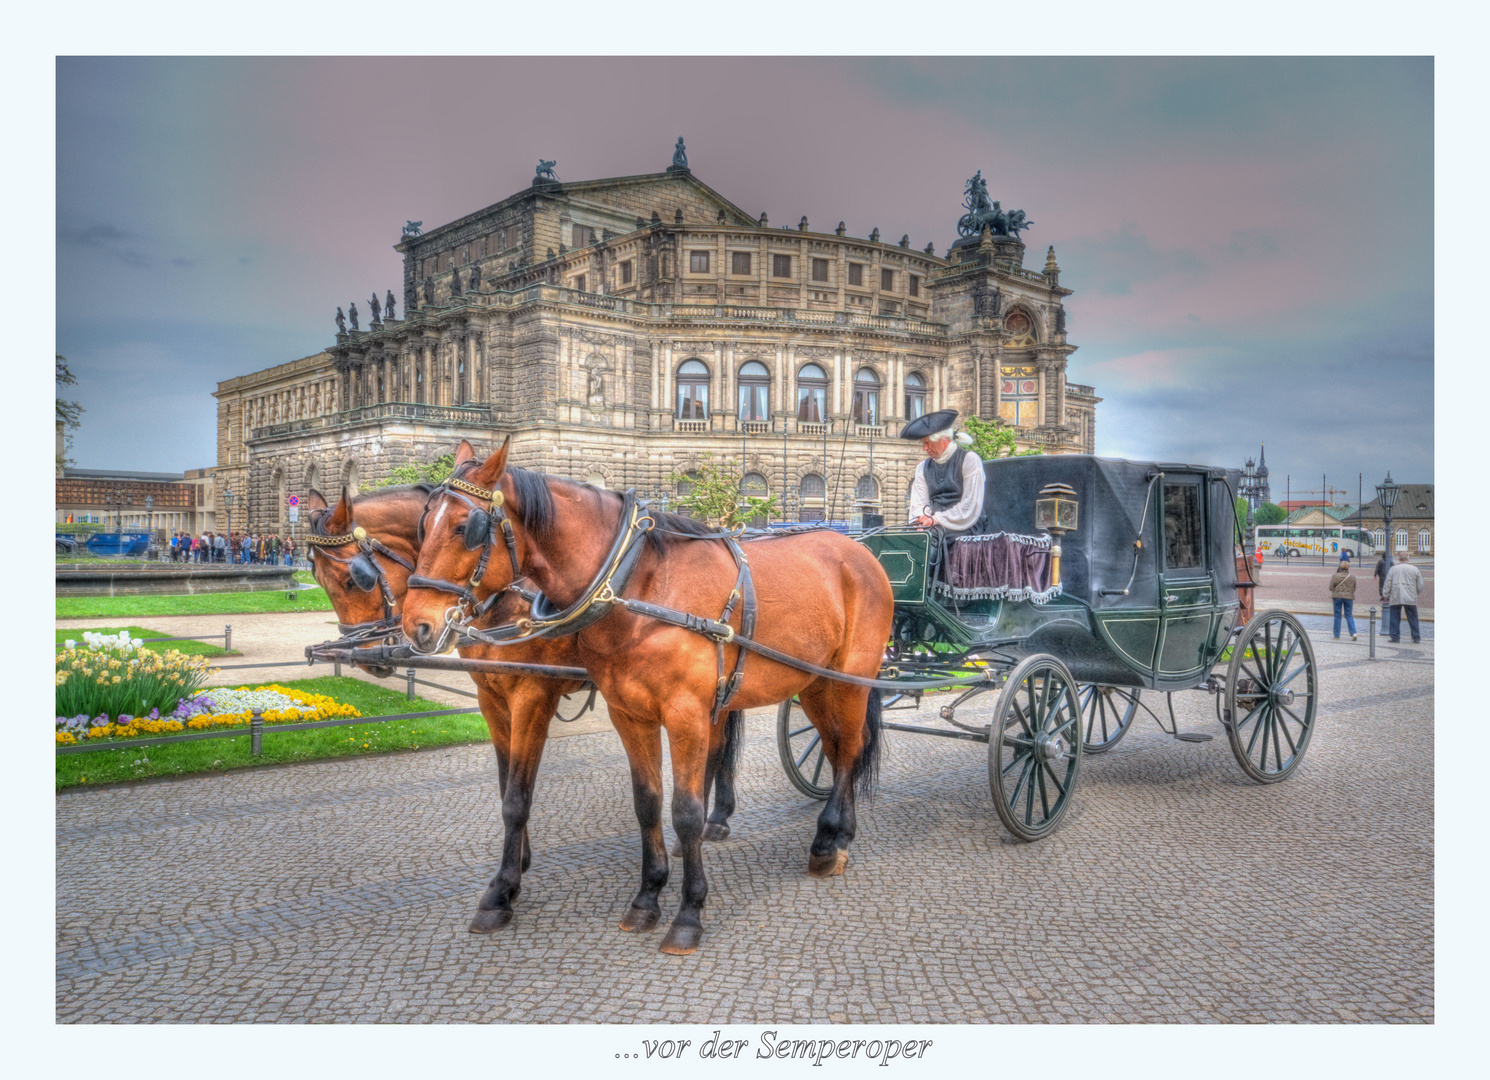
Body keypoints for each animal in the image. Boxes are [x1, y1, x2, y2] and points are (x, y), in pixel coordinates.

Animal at [302, 479, 745, 929]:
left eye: (355, 579)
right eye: (317, 578)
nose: (369, 654)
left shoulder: (532, 696)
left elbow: (517, 796)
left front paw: (502, 889)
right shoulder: (491, 698)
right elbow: (506, 785)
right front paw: (519, 861)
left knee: (717, 747)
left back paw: (713, 821)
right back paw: (713, 818)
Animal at [408, 437, 888, 953]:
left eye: (465, 527)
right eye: (423, 523)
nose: (417, 624)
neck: (636, 584)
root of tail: (856, 549)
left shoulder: (661, 711)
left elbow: (684, 811)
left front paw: (689, 912)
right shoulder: (621, 712)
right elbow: (645, 803)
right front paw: (646, 896)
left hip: (849, 681)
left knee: (849, 749)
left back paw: (827, 841)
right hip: (812, 684)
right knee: (836, 748)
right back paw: (837, 835)